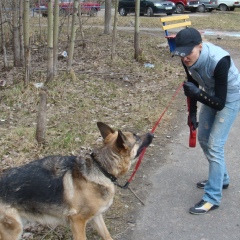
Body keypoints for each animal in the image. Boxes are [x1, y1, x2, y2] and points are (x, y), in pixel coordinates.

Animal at [0, 123, 154, 239]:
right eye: (136, 137)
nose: (152, 134)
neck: (101, 168)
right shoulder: (77, 222)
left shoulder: (96, 217)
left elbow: (107, 235)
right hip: (13, 231)